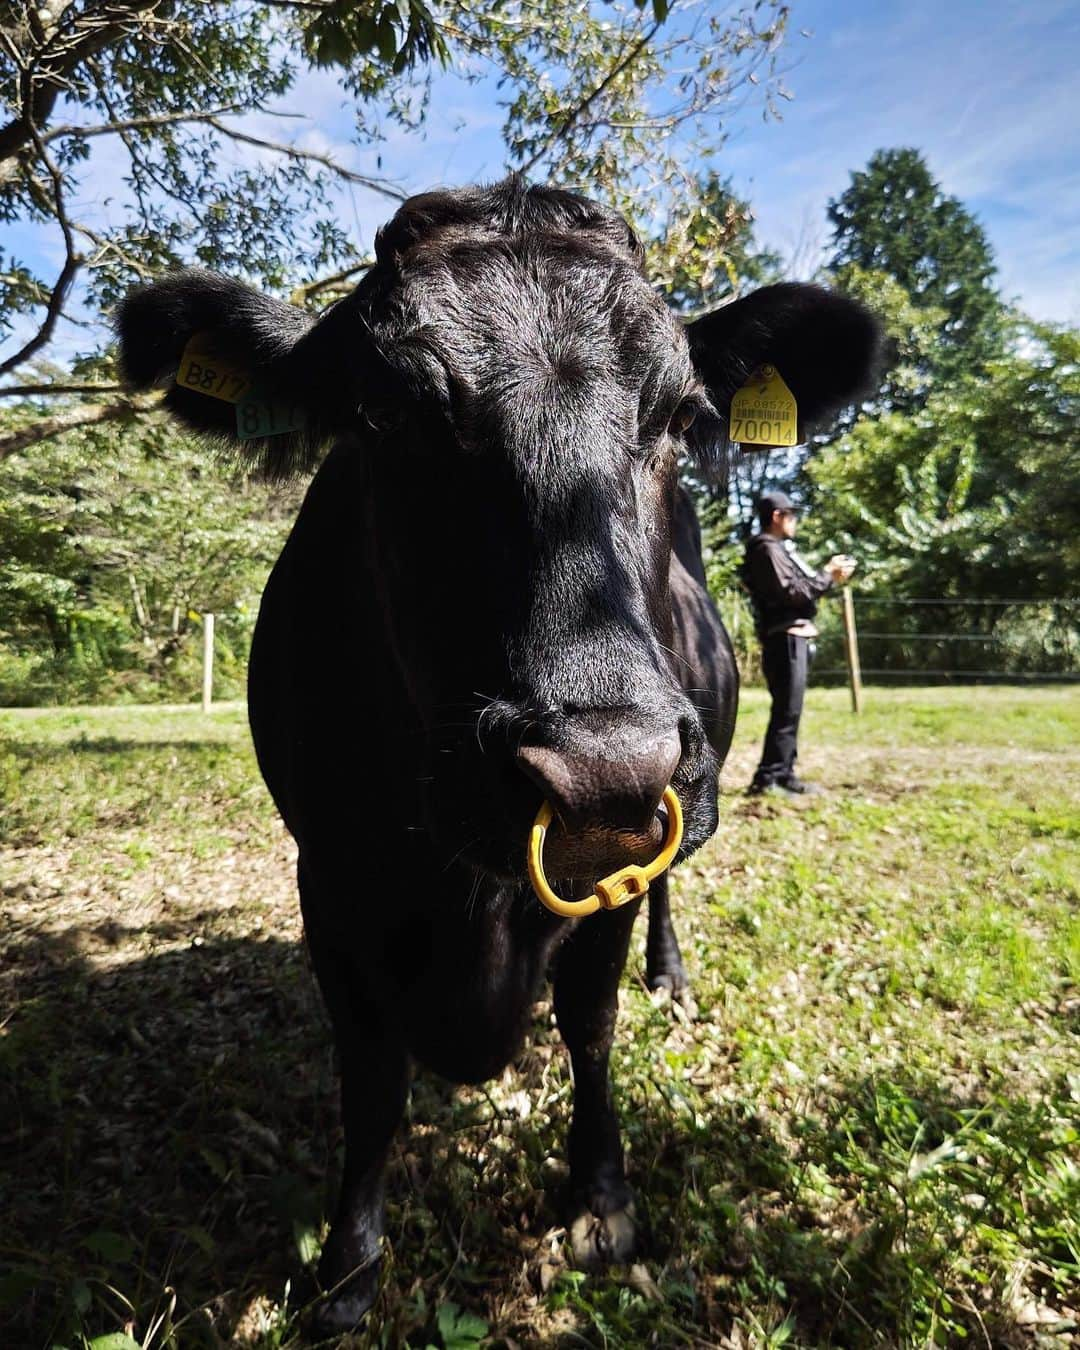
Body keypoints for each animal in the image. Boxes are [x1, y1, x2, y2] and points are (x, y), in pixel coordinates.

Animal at [116, 176, 874, 1328]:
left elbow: (591, 1023)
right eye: (381, 414)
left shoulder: (614, 872)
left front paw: (600, 1198)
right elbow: (372, 1078)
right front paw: (349, 1267)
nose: (605, 769)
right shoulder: (327, 876)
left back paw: (671, 974)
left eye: (679, 416)